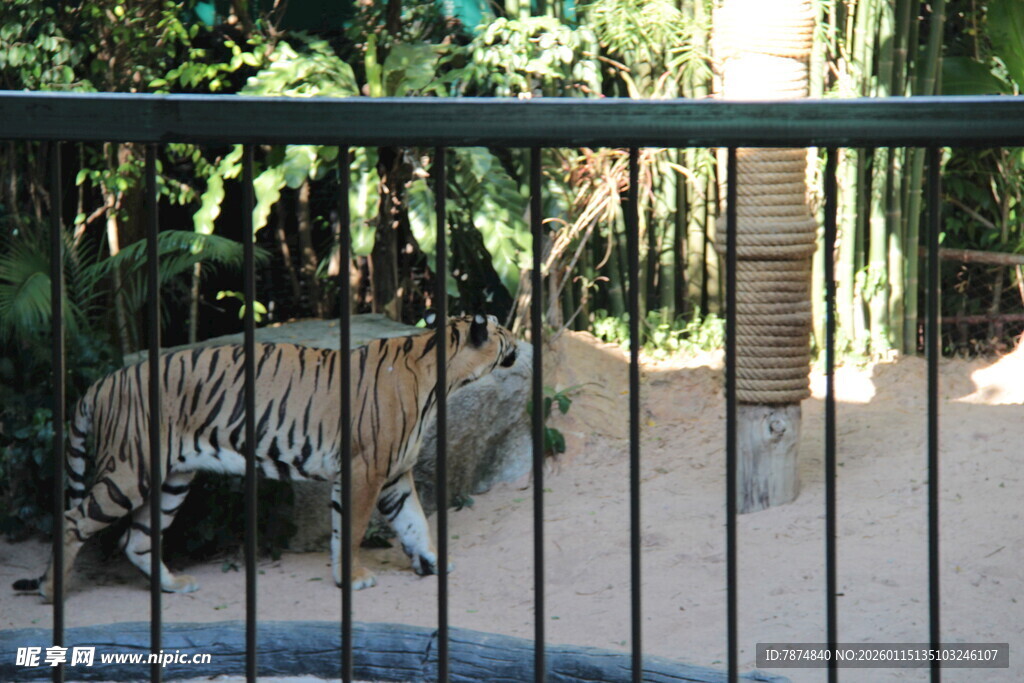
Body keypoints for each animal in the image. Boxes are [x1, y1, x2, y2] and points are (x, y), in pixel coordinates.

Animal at [14, 312, 518, 602]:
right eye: (503, 331)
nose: (518, 342)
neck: (442, 378)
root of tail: (104, 381)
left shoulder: (393, 474)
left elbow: (414, 522)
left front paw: (431, 563)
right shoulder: (366, 469)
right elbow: (354, 530)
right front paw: (355, 578)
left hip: (172, 478)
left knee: (134, 539)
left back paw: (175, 586)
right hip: (128, 470)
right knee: (73, 520)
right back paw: (52, 592)